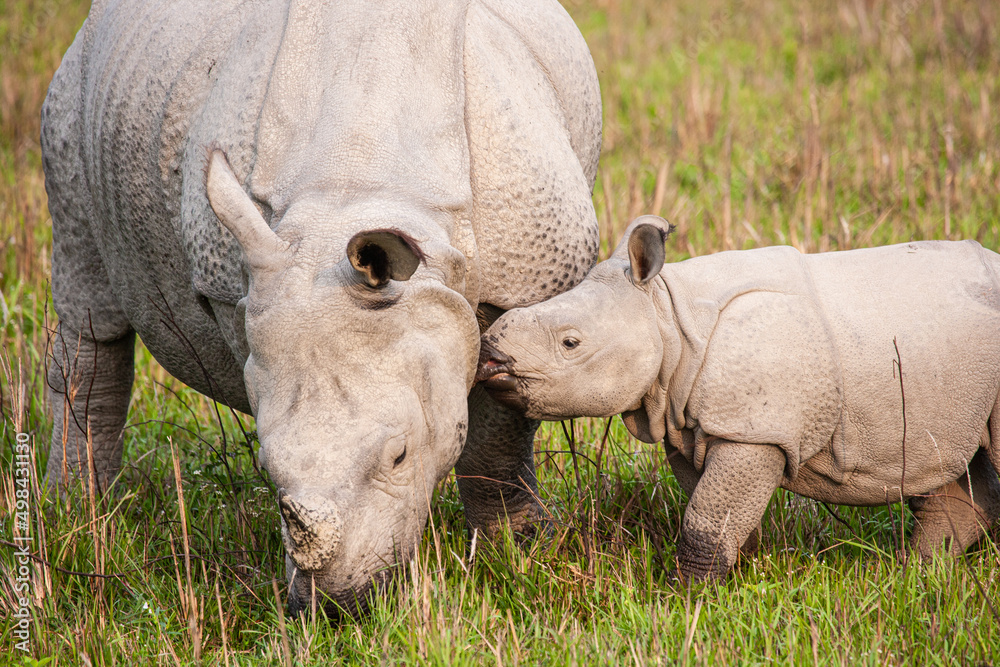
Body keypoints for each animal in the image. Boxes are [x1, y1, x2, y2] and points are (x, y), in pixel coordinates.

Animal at [41, 0, 600, 616]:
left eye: (401, 456)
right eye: (266, 467)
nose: (334, 606)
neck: (358, 184)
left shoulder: (528, 280)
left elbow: (499, 428)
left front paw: (516, 548)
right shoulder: (241, 284)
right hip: (72, 95)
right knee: (89, 300)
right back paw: (77, 522)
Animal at [476, 218, 1000, 580]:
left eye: (571, 343)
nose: (489, 357)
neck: (668, 316)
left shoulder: (755, 432)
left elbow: (707, 518)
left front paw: (683, 596)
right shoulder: (688, 423)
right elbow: (712, 508)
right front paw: (737, 567)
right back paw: (918, 574)